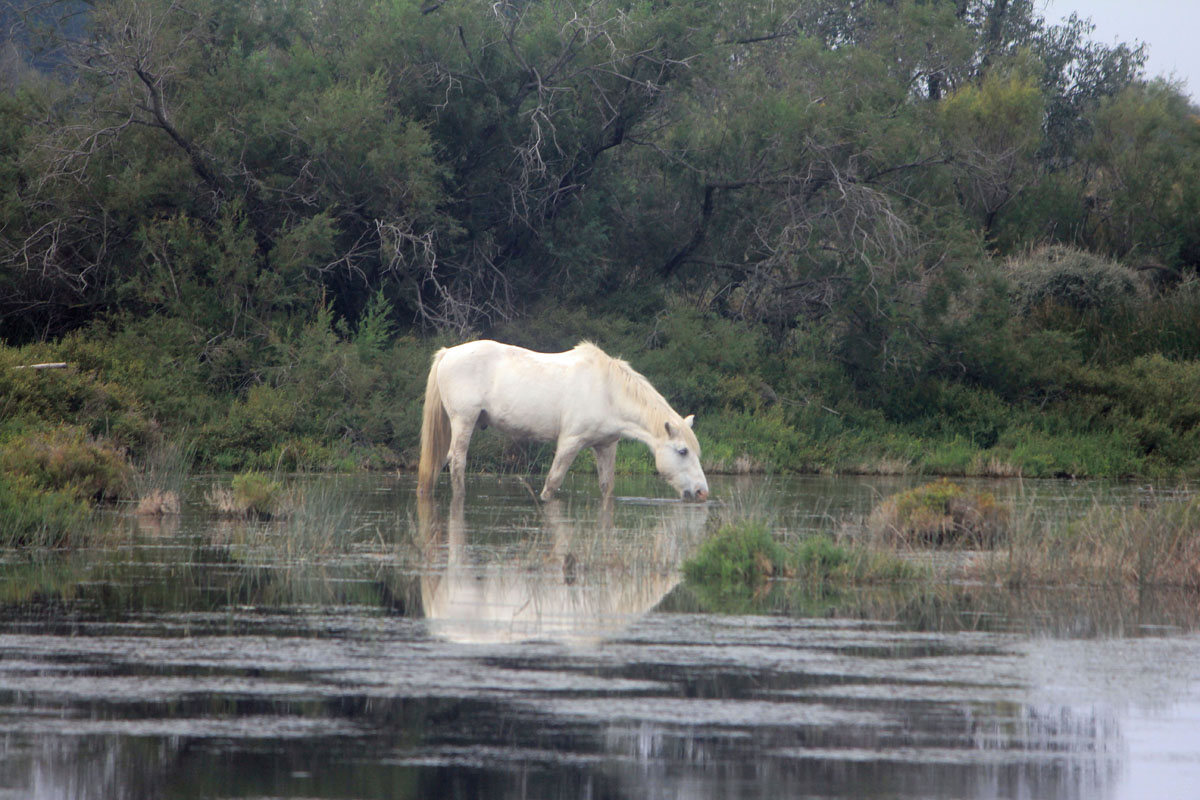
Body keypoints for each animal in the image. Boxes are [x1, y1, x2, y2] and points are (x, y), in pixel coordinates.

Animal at [417, 340, 705, 503]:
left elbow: (607, 487)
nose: (702, 492)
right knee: (457, 462)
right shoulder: (570, 442)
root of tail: (447, 353)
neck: (608, 392)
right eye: (682, 451)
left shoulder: (606, 446)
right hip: (463, 421)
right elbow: (552, 483)